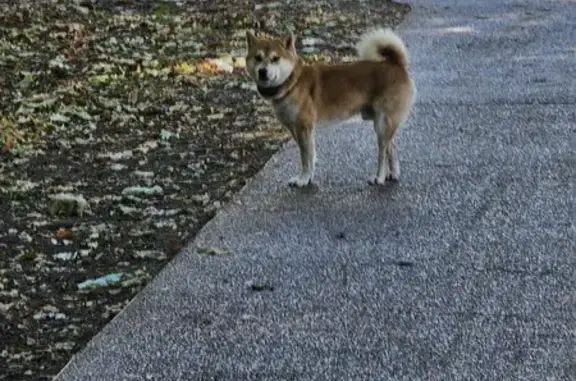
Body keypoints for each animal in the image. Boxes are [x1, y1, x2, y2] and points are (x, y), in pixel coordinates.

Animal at [245, 27, 416, 186]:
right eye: (257, 57)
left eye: (275, 59)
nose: (262, 71)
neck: (292, 82)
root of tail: (396, 65)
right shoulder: (298, 130)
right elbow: (311, 155)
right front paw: (309, 178)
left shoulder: (303, 128)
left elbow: (305, 158)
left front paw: (303, 179)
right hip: (382, 124)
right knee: (391, 148)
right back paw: (393, 174)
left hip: (382, 125)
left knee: (383, 153)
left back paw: (379, 177)